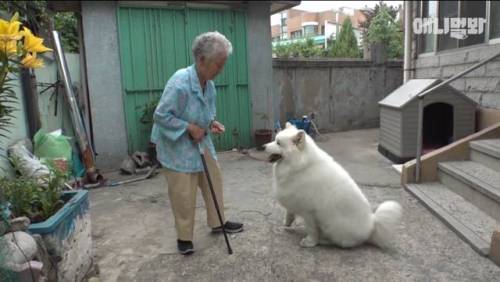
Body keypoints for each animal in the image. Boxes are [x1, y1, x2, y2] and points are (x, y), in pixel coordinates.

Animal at [266, 123, 402, 249]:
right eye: (275, 139)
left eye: (278, 143)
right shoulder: (293, 199)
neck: (300, 166)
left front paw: (310, 242)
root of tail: (372, 225)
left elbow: (311, 229)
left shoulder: (309, 212)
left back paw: (322, 240)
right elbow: (289, 214)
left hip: (330, 224)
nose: (263, 146)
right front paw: (286, 224)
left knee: (338, 243)